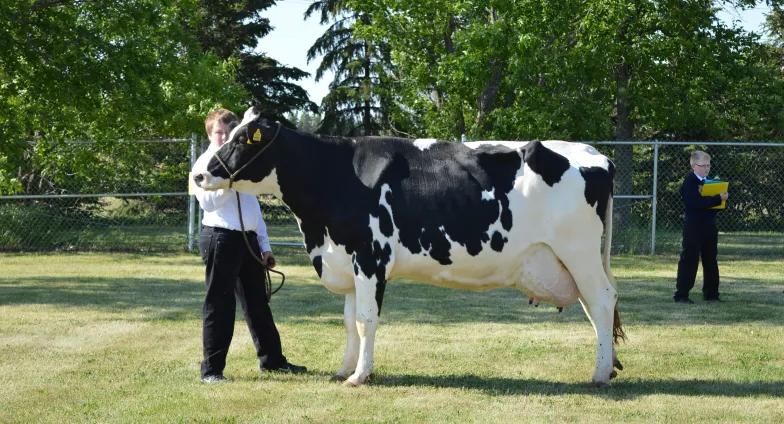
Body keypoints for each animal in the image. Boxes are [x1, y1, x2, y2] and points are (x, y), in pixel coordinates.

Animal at [193, 107, 628, 388]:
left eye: (241, 140)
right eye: (227, 134)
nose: (198, 175)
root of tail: (596, 154)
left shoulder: (370, 257)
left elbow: (366, 320)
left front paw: (360, 376)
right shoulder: (346, 260)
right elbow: (349, 321)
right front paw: (344, 369)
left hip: (579, 251)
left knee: (603, 301)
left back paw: (598, 375)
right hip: (574, 258)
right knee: (596, 308)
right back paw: (607, 367)